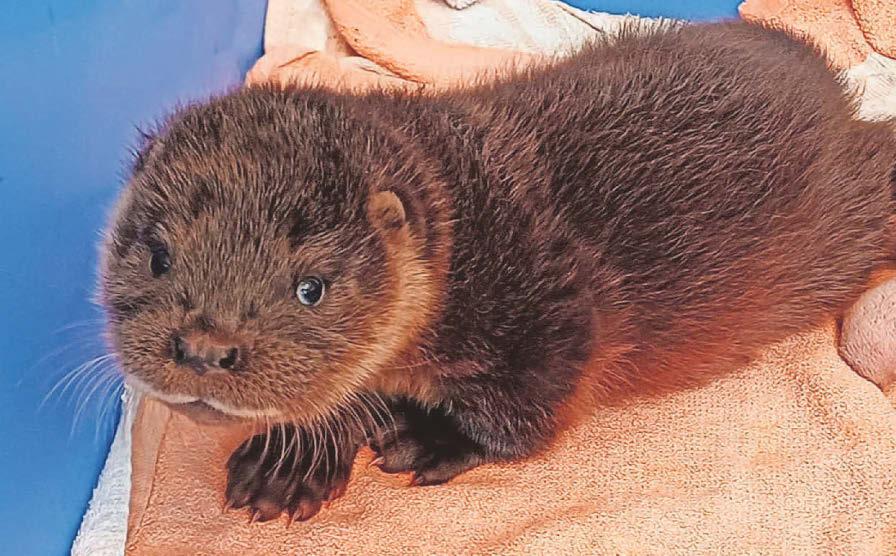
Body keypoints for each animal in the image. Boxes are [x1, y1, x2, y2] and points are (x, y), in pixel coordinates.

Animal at [99, 21, 896, 523]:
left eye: (310, 288)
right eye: (158, 255)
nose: (204, 349)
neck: (469, 241)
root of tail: (834, 88)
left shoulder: (554, 314)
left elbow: (526, 417)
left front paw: (428, 438)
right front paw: (287, 464)